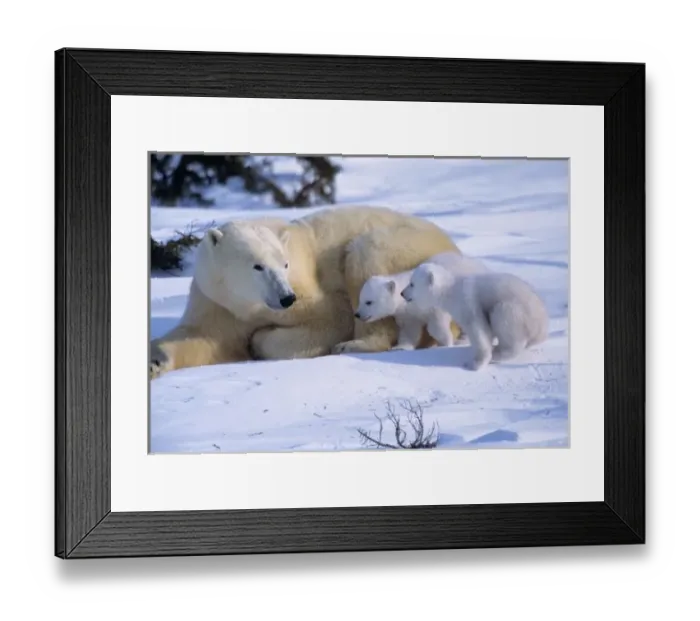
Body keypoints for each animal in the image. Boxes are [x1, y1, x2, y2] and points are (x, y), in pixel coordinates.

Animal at [149, 205, 460, 379]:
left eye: (284, 263)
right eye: (258, 266)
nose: (286, 298)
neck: (246, 303)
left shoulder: (308, 291)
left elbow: (331, 318)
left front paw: (258, 341)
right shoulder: (216, 300)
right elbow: (203, 338)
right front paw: (155, 362)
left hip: (401, 246)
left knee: (366, 256)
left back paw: (355, 344)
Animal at [354, 252, 491, 351]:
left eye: (369, 302)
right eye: (360, 300)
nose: (357, 314)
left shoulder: (433, 303)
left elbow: (436, 325)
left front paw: (445, 343)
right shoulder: (408, 315)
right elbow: (410, 331)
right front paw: (400, 347)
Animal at [401, 262, 549, 371]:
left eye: (412, 283)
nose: (402, 293)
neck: (451, 290)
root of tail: (542, 325)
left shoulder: (468, 303)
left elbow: (478, 329)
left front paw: (474, 364)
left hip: (514, 310)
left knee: (505, 322)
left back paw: (499, 353)